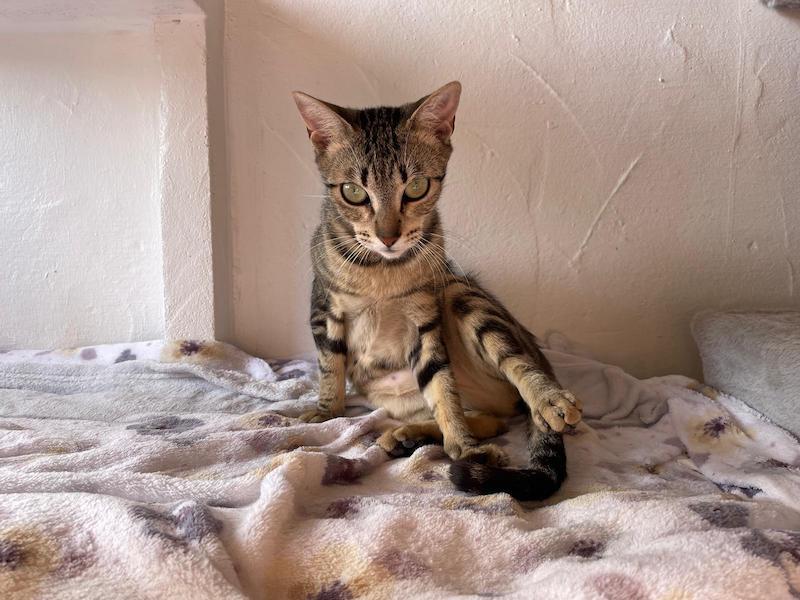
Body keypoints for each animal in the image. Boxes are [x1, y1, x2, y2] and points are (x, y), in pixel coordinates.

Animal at [292, 81, 582, 500]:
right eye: (353, 192)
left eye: (415, 187)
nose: (388, 236)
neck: (383, 271)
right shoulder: (324, 308)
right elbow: (330, 366)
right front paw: (326, 410)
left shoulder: (425, 320)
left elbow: (443, 389)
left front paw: (464, 447)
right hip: (393, 394)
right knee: (489, 417)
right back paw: (409, 437)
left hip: (459, 292)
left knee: (510, 373)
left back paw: (544, 400)